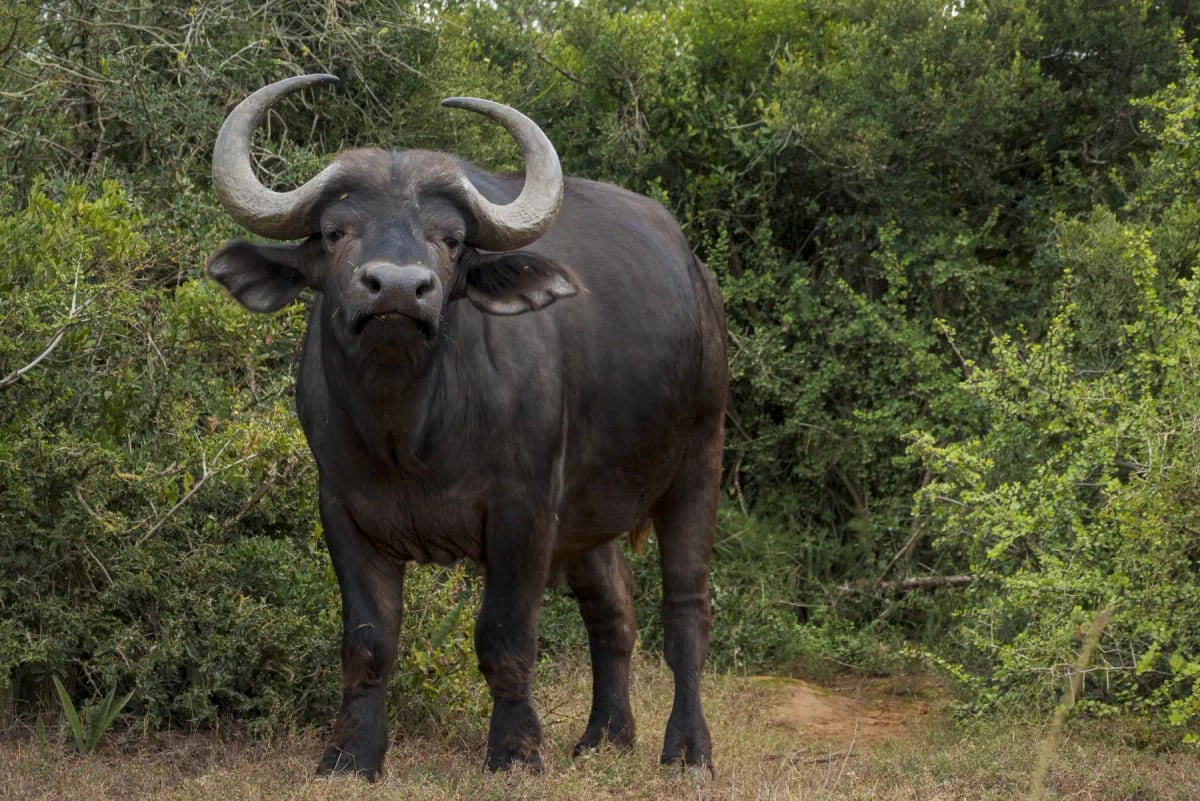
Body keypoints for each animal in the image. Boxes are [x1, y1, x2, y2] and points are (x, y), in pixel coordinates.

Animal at [205, 74, 727, 779]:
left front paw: (515, 751)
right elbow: (368, 641)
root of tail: (699, 279)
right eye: (337, 231)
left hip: (700, 457)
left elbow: (504, 636)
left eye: (450, 239)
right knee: (613, 605)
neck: (409, 434)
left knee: (685, 611)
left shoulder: (523, 512)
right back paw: (604, 735)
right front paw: (351, 755)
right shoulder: (342, 508)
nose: (398, 289)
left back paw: (688, 749)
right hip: (590, 509)